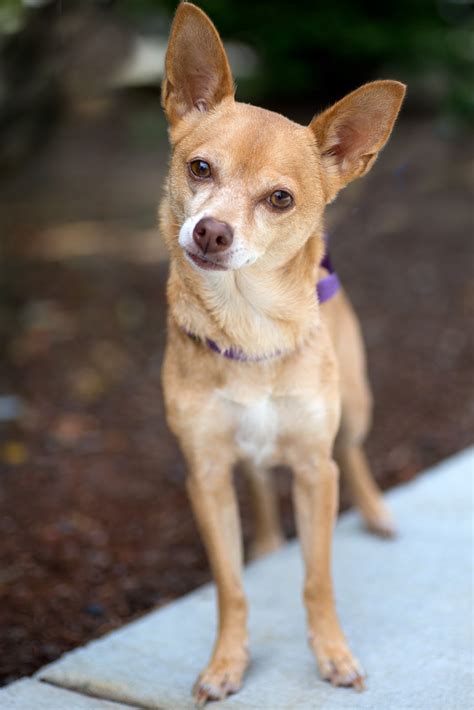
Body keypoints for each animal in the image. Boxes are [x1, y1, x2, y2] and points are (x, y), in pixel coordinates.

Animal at [159, 2, 404, 708]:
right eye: (200, 168)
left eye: (280, 199)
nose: (210, 232)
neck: (250, 330)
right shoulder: (206, 473)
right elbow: (230, 586)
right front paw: (227, 663)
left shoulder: (315, 471)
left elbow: (317, 580)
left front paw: (333, 656)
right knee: (259, 483)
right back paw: (267, 542)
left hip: (355, 403)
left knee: (353, 453)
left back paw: (377, 513)